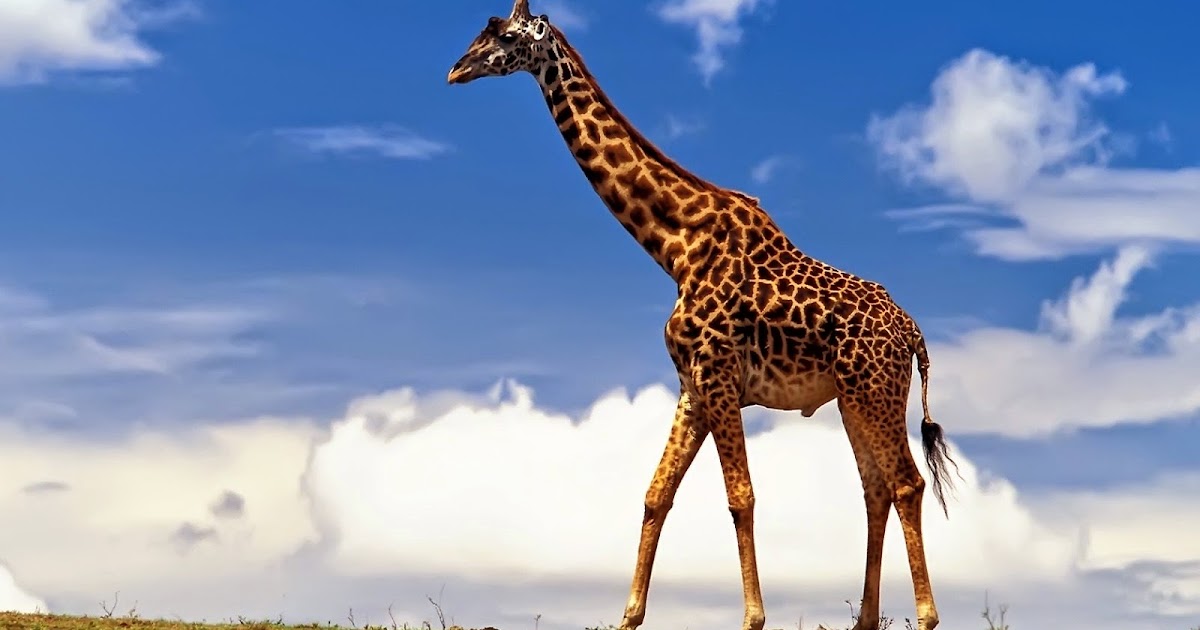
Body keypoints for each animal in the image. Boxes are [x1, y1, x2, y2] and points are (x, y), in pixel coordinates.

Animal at [447, 3, 959, 630]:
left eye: (502, 34)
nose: (455, 70)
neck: (673, 246)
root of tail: (914, 334)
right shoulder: (692, 385)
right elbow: (656, 494)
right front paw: (629, 617)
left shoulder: (718, 375)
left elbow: (741, 497)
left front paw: (753, 618)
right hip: (853, 397)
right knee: (876, 488)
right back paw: (864, 620)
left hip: (874, 390)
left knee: (906, 483)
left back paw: (927, 616)